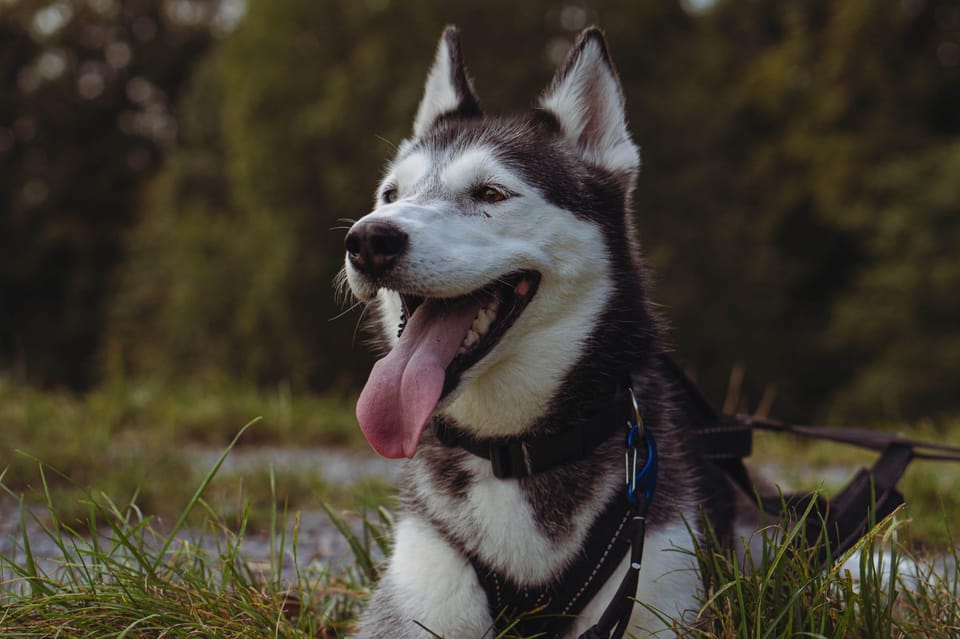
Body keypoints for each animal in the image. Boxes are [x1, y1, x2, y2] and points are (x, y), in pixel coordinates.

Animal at [342, 26, 740, 639]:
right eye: (391, 195)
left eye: (490, 193)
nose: (367, 240)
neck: (513, 450)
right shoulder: (416, 601)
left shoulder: (657, 584)